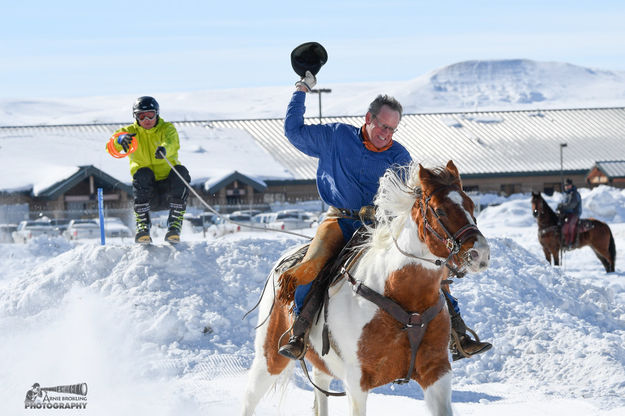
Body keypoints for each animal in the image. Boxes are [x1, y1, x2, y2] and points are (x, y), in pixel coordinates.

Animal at [241, 161, 490, 414]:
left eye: (471, 206)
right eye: (440, 211)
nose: (480, 253)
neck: (403, 298)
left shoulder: (436, 373)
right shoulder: (357, 382)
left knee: (321, 384)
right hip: (269, 357)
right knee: (250, 396)